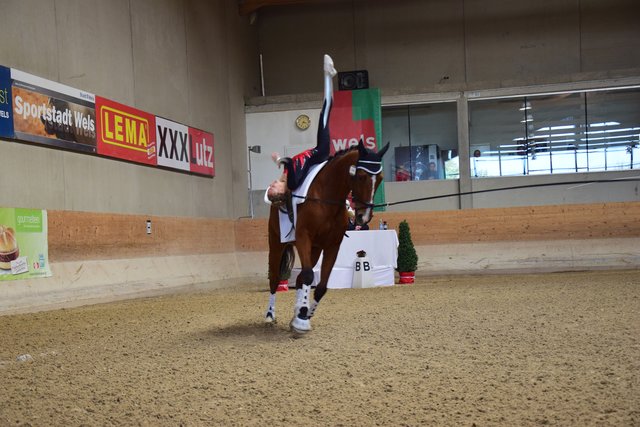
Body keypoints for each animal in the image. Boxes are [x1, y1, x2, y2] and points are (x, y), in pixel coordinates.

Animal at [265, 139, 389, 334]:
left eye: (381, 178)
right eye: (361, 176)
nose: (364, 217)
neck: (326, 197)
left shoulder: (332, 246)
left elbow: (321, 286)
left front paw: (304, 315)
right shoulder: (303, 238)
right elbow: (309, 276)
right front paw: (301, 321)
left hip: (315, 250)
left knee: (299, 279)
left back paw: (297, 312)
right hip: (277, 244)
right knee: (275, 278)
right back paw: (270, 315)